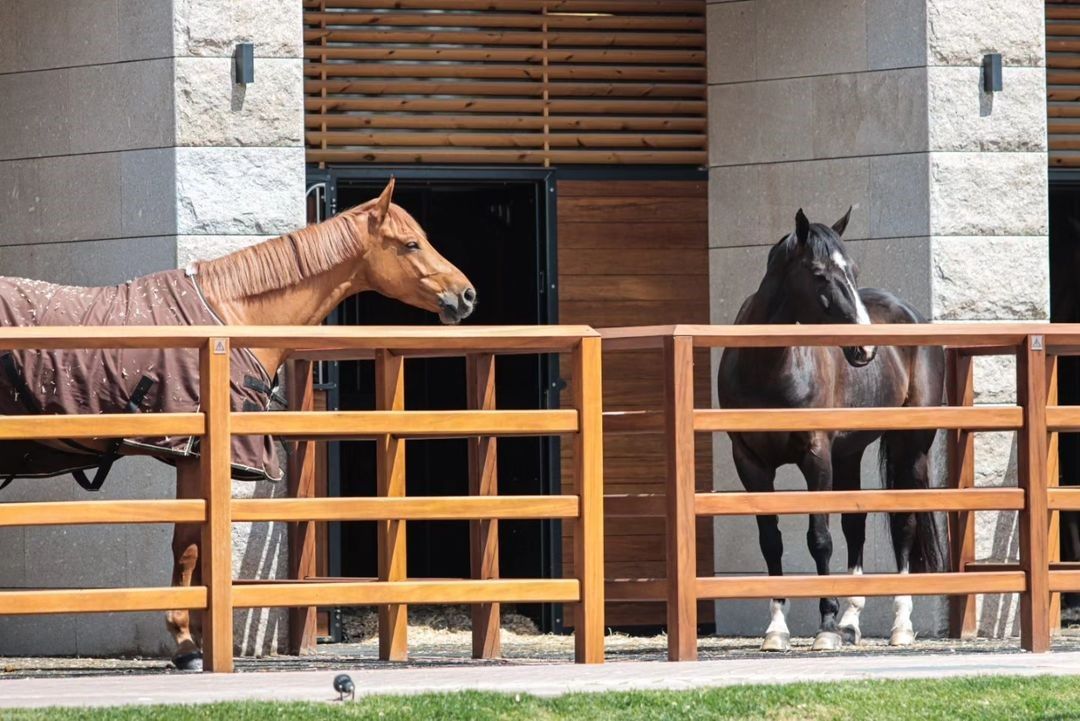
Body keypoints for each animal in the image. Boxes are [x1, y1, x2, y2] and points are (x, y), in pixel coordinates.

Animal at [0, 179, 476, 670]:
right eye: (411, 244)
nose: (466, 294)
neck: (224, 323)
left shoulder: (192, 455)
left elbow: (197, 549)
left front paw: (196, 638)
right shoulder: (197, 456)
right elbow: (190, 548)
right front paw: (187, 645)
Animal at [716, 208, 945, 652]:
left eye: (852, 269)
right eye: (819, 273)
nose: (865, 348)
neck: (767, 369)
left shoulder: (816, 456)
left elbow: (819, 537)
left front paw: (825, 625)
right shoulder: (750, 462)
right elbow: (771, 540)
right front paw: (777, 629)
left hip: (911, 448)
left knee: (904, 525)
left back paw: (900, 624)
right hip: (849, 453)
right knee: (855, 524)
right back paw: (852, 622)